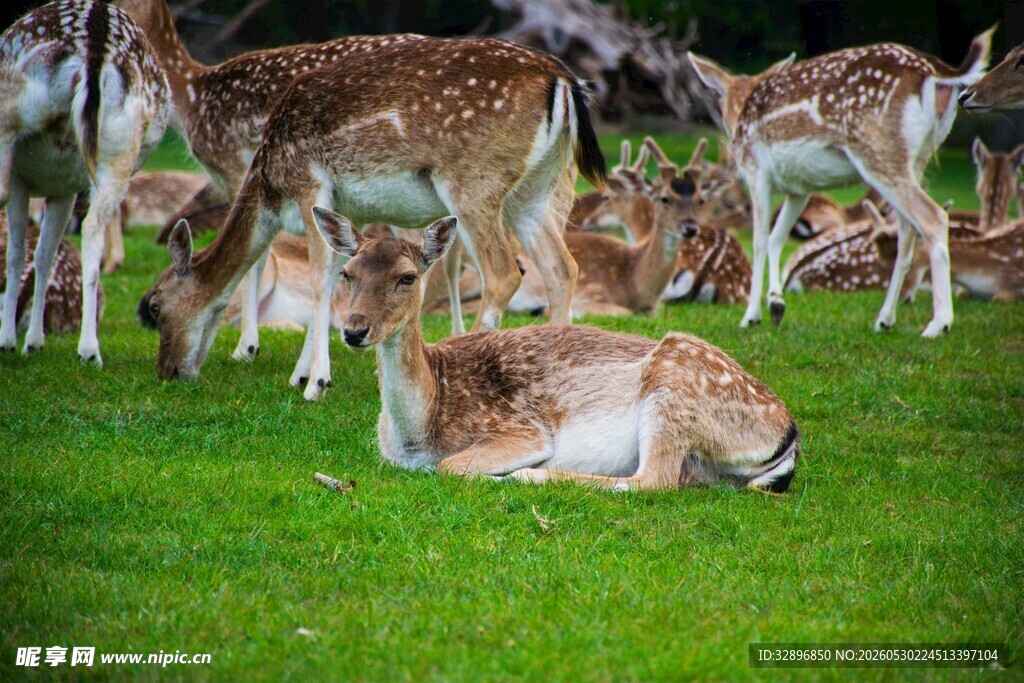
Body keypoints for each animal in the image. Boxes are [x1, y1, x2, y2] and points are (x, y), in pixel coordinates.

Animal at [0, 0, 170, 364]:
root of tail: (94, 47)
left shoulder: (25, 179)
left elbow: (20, 252)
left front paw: (10, 339)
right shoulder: (63, 186)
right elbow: (44, 253)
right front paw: (33, 341)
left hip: (12, 115)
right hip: (118, 149)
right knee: (92, 228)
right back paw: (90, 349)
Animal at [141, 36, 606, 400]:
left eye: (157, 307)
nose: (168, 372)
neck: (270, 184)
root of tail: (564, 81)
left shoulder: (309, 184)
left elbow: (318, 279)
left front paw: (315, 382)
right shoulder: (344, 209)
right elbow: (335, 276)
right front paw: (302, 374)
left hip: (474, 181)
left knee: (505, 271)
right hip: (534, 192)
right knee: (562, 267)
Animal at [311, 206, 799, 492]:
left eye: (407, 277)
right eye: (348, 273)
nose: (354, 330)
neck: (416, 435)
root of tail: (789, 433)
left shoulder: (520, 429)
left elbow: (451, 466)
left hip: (674, 387)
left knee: (652, 480)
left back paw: (526, 476)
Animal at [689, 28, 995, 337]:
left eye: (721, 100)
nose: (729, 129)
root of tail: (937, 71)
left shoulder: (757, 172)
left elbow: (760, 240)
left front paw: (751, 316)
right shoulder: (799, 188)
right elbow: (777, 238)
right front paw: (776, 305)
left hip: (877, 151)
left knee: (934, 217)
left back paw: (938, 324)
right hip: (916, 160)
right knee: (908, 233)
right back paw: (885, 320)